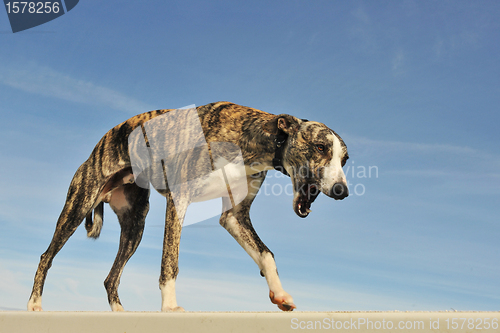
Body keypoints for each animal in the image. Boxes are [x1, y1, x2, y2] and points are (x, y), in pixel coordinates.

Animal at [27, 101, 348, 312]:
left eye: (344, 160)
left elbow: (266, 254)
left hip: (135, 226)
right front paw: (170, 307)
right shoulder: (178, 201)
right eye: (320, 147)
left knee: (110, 278)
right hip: (78, 206)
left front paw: (279, 294)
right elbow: (170, 262)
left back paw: (119, 313)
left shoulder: (235, 217)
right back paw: (34, 303)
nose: (342, 191)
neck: (250, 138)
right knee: (46, 257)